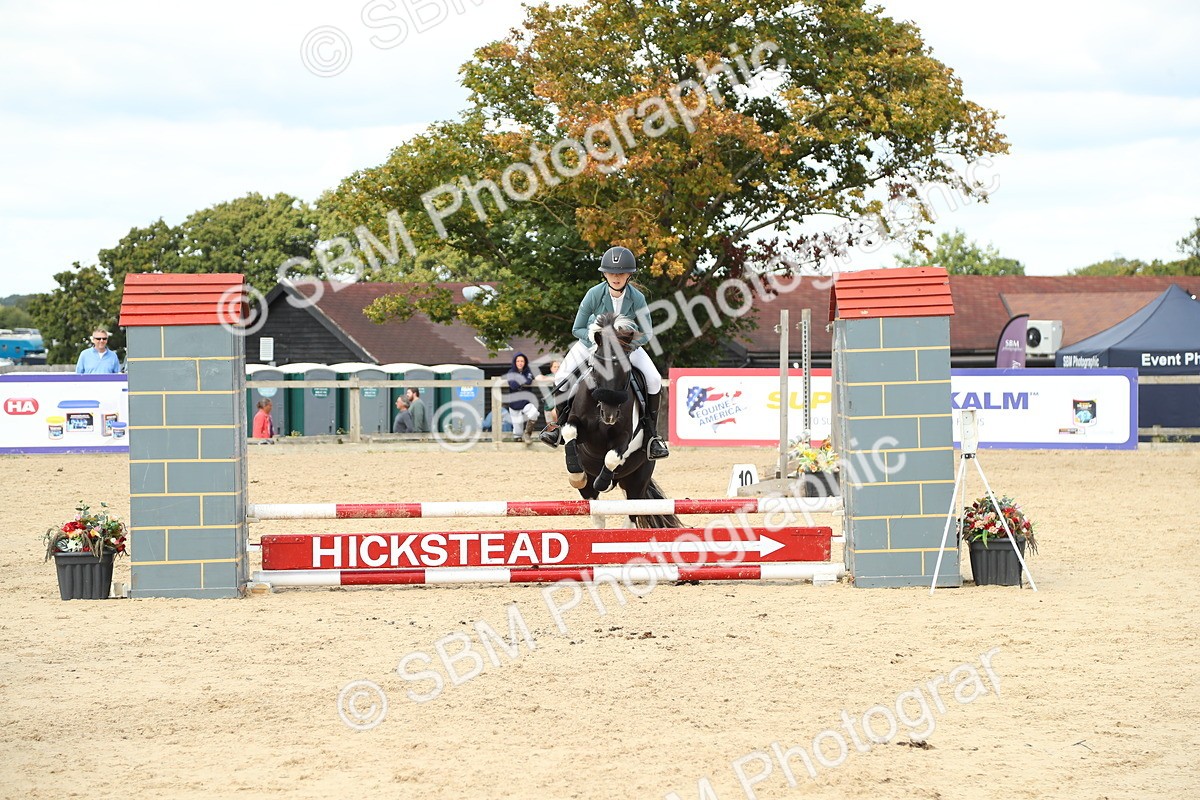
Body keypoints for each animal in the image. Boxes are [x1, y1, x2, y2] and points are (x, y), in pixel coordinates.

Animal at [559, 313, 681, 529]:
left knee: (631, 515)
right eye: (598, 369)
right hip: (592, 492)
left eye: (626, 370)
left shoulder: (624, 437)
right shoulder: (576, 423)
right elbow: (569, 431)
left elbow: (612, 457)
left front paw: (604, 481)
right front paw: (576, 473)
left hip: (638, 480)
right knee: (596, 513)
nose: (609, 415)